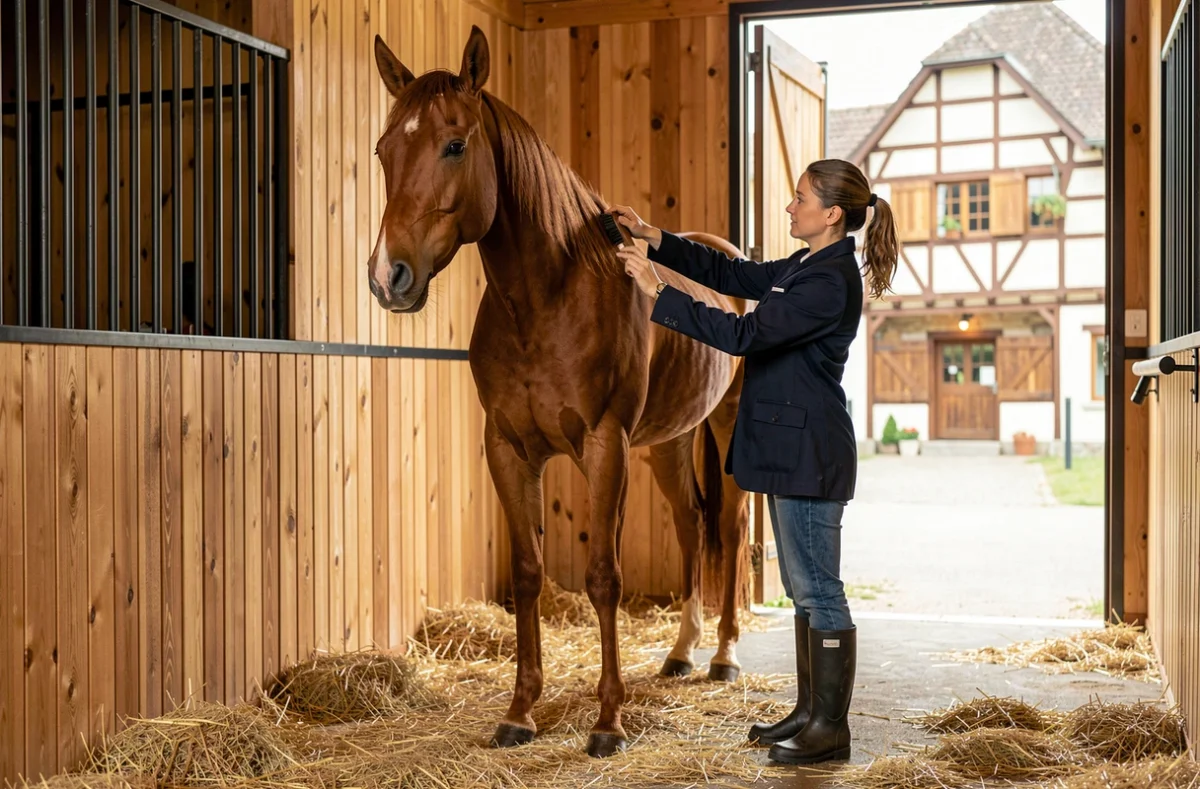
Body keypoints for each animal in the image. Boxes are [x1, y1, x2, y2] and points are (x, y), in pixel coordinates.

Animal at [368, 25, 752, 758]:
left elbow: (603, 575)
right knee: (692, 523)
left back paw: (722, 656)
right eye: (382, 149)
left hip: (724, 427)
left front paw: (607, 721)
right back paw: (681, 651)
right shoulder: (509, 447)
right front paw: (520, 711)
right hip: (670, 440)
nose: (387, 276)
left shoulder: (605, 445)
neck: (546, 300)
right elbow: (527, 574)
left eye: (454, 144)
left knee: (730, 525)